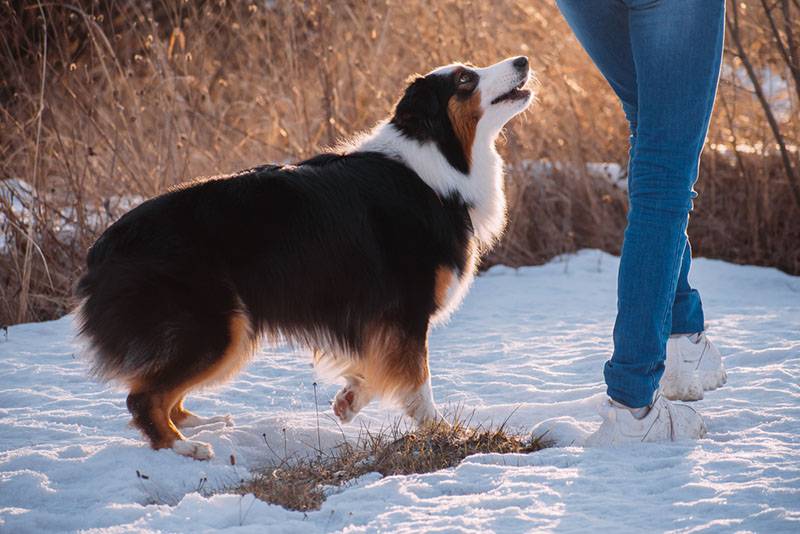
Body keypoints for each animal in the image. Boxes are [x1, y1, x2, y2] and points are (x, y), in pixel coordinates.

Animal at [78, 57, 536, 460]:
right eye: (464, 80)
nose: (523, 60)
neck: (437, 161)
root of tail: (102, 248)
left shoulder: (374, 317)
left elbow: (375, 367)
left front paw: (349, 400)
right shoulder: (404, 310)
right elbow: (416, 379)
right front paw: (442, 430)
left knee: (161, 391)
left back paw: (197, 424)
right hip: (216, 328)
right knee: (143, 396)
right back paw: (182, 446)